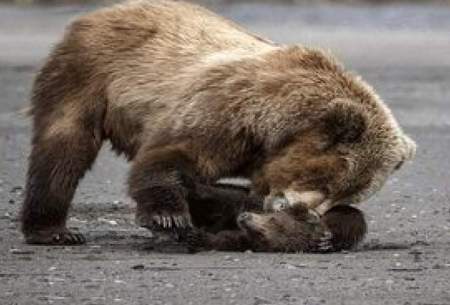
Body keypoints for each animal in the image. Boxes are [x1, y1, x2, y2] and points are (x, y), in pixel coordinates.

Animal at [21, 0, 414, 242]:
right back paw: (53, 230)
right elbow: (174, 156)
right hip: (87, 74)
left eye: (349, 193)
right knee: (64, 148)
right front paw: (168, 217)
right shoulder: (229, 113)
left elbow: (231, 196)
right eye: (327, 181)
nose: (299, 210)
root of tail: (105, 11)